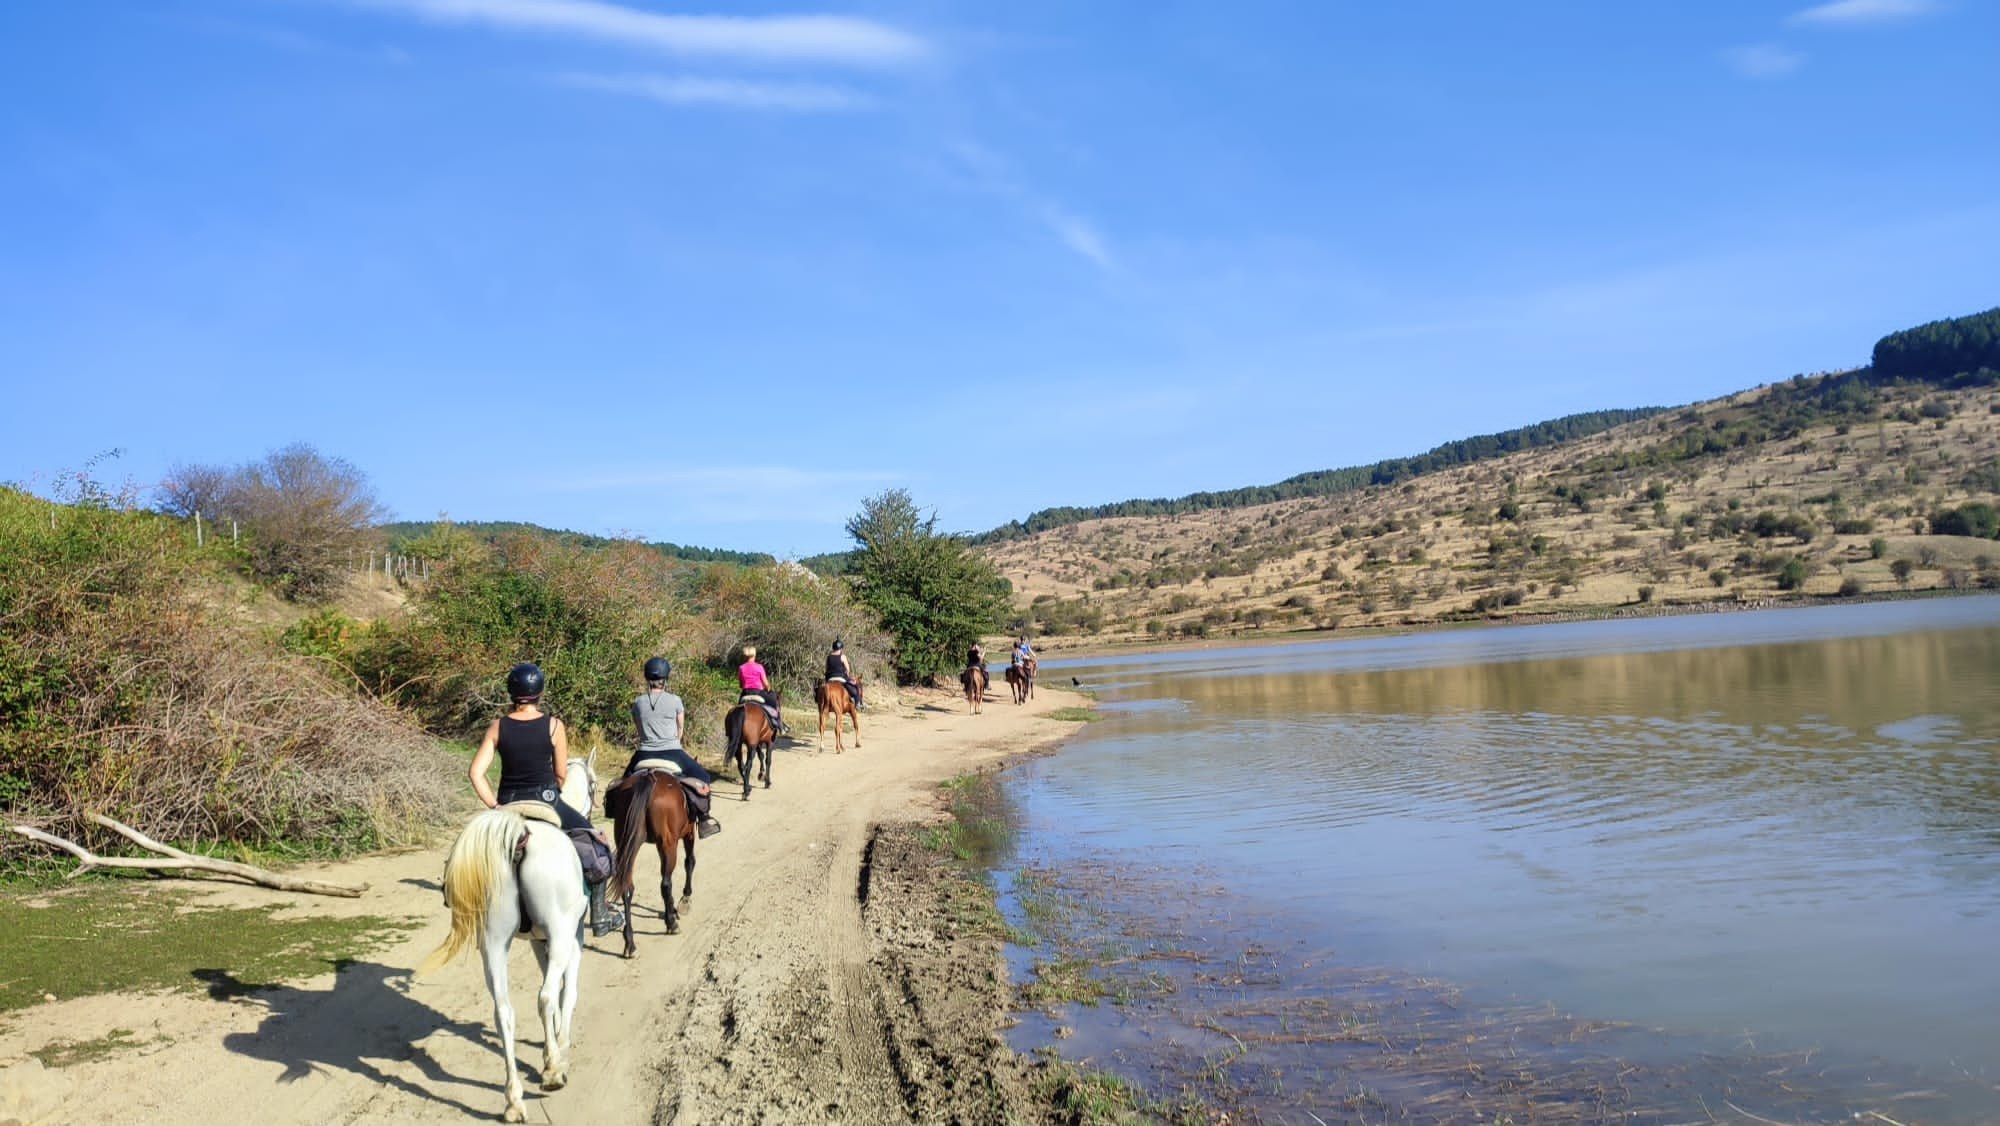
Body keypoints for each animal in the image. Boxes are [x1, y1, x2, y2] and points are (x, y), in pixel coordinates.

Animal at [419, 753, 598, 1123]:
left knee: (503, 1012)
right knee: (545, 996)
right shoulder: (571, 936)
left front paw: (550, 1047)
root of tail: (520, 838)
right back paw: (552, 1074)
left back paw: (514, 1101)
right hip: (558, 934)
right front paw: (559, 1049)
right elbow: (567, 992)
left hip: (494, 944)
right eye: (594, 784)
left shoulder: (537, 942)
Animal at [605, 763, 695, 957]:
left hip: (628, 841)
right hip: (668, 844)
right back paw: (671, 924)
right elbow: (690, 862)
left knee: (627, 887)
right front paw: (684, 900)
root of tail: (648, 777)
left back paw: (630, 944)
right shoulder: (689, 832)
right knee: (666, 883)